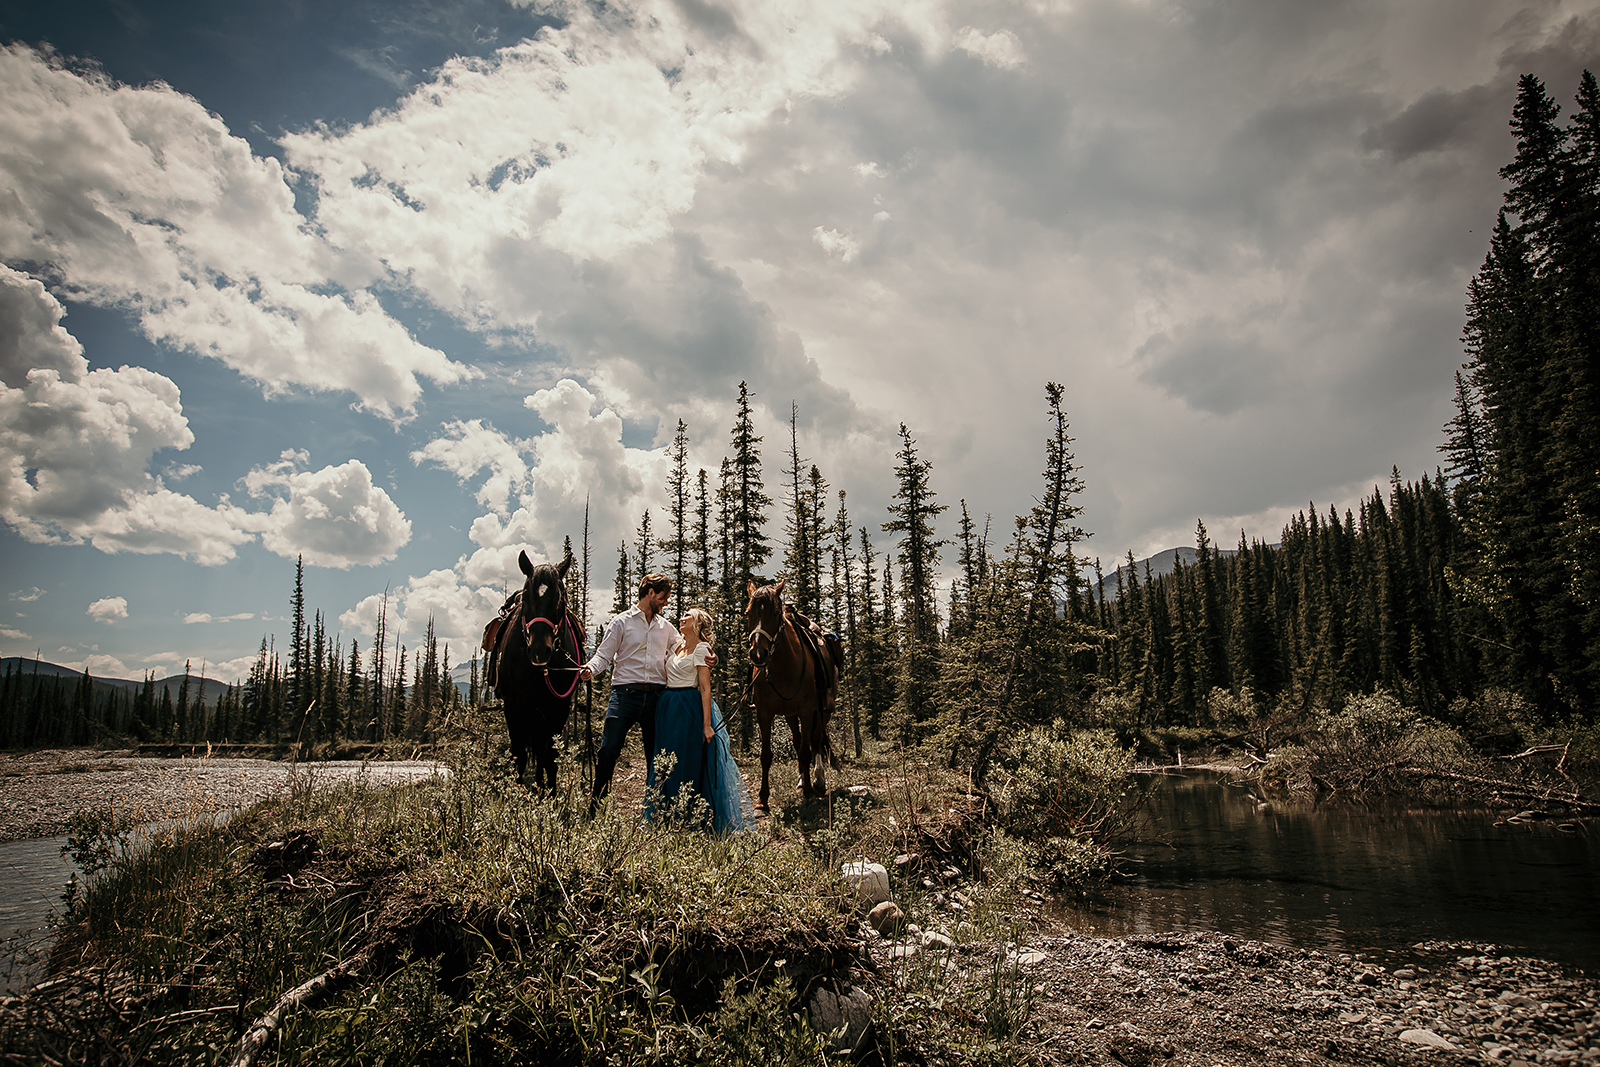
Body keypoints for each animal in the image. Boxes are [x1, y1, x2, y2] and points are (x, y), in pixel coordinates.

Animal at [492, 550, 588, 793]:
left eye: (560, 598)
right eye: (527, 598)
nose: (538, 651)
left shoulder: (557, 708)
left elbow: (549, 757)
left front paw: (551, 796)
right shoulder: (514, 706)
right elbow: (519, 756)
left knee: (540, 749)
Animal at [742, 585, 838, 809]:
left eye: (776, 613)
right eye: (748, 613)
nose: (758, 654)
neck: (782, 667)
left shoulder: (807, 711)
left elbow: (806, 751)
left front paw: (810, 793)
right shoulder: (764, 714)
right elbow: (766, 755)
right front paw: (762, 799)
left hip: (823, 710)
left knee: (816, 740)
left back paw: (818, 781)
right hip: (790, 715)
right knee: (797, 740)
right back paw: (803, 780)